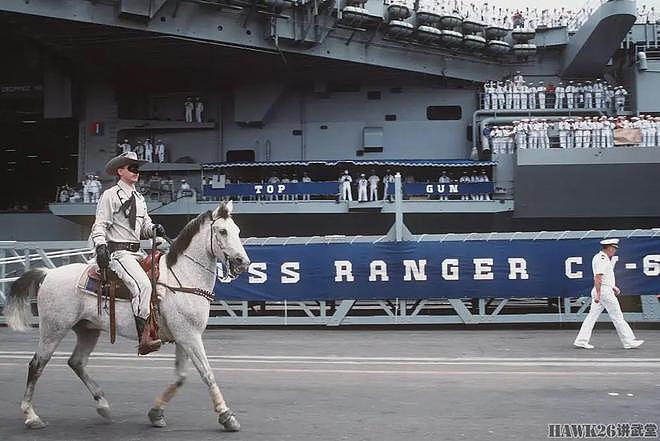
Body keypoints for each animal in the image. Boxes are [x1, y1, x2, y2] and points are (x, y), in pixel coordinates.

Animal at [5, 201, 250, 432]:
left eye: (237, 230)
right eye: (222, 231)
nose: (243, 262)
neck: (182, 277)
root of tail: (48, 273)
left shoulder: (184, 337)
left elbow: (181, 377)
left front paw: (156, 413)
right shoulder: (190, 337)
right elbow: (207, 374)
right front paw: (227, 416)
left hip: (87, 330)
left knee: (76, 362)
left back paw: (103, 405)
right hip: (53, 330)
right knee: (36, 365)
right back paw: (31, 416)